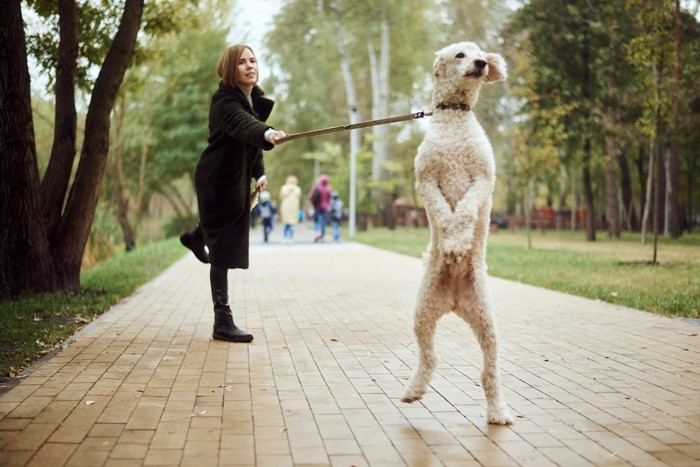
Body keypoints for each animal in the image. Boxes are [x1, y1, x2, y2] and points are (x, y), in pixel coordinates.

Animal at [402, 42, 512, 426]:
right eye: (460, 55)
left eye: (480, 52)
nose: (481, 63)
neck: (454, 117)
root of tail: (453, 301)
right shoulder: (426, 181)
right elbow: (441, 211)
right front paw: (449, 240)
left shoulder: (482, 181)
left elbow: (464, 209)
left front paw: (458, 242)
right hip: (421, 314)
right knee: (428, 358)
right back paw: (414, 389)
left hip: (487, 322)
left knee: (489, 372)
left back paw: (498, 411)